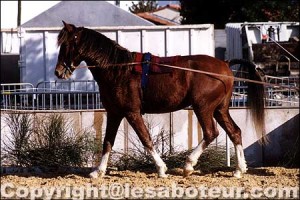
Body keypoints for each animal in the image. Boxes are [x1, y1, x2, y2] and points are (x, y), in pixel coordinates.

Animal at [54, 21, 264, 178]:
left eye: (66, 45)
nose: (58, 71)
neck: (119, 69)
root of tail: (225, 64)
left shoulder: (132, 112)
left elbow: (146, 139)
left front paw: (161, 169)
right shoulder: (115, 113)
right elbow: (107, 142)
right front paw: (98, 172)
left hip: (203, 108)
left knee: (211, 133)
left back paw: (189, 165)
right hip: (220, 109)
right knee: (234, 132)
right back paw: (239, 170)